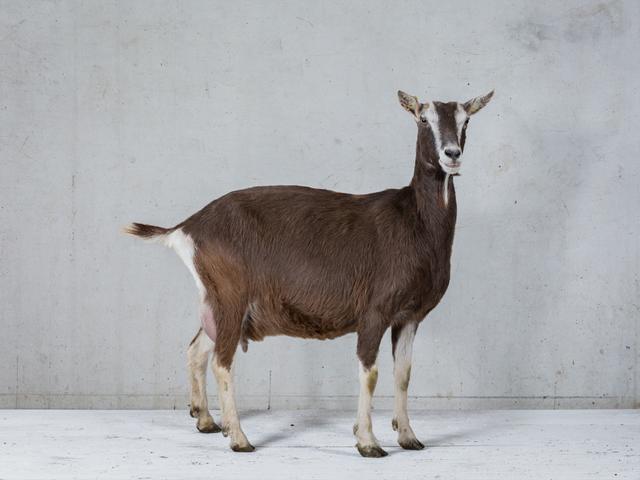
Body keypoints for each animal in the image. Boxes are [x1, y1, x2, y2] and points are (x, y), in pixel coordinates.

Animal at [125, 89, 494, 457]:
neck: (415, 222)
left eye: (466, 120)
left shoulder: (409, 316)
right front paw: (367, 441)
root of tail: (188, 226)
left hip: (216, 299)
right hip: (232, 295)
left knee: (197, 348)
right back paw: (240, 438)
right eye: (423, 118)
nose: (452, 154)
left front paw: (408, 436)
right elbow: (370, 372)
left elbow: (403, 374)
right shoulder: (374, 311)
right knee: (221, 360)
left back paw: (207, 420)